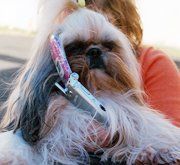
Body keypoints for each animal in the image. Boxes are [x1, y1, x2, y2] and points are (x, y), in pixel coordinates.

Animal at [0, 0, 180, 165]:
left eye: (108, 45)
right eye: (75, 47)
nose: (95, 51)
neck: (95, 90)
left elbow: (149, 130)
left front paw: (159, 150)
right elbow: (21, 144)